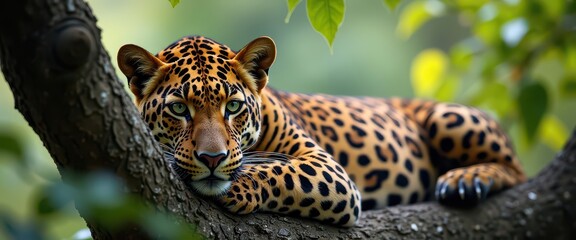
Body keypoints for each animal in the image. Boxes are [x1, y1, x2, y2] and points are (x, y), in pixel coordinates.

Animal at [117, 35, 528, 227]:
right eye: (179, 109)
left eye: (232, 107)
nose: (213, 159)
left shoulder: (330, 170)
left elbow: (280, 171)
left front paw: (237, 186)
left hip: (446, 117)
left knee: (518, 172)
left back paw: (465, 180)